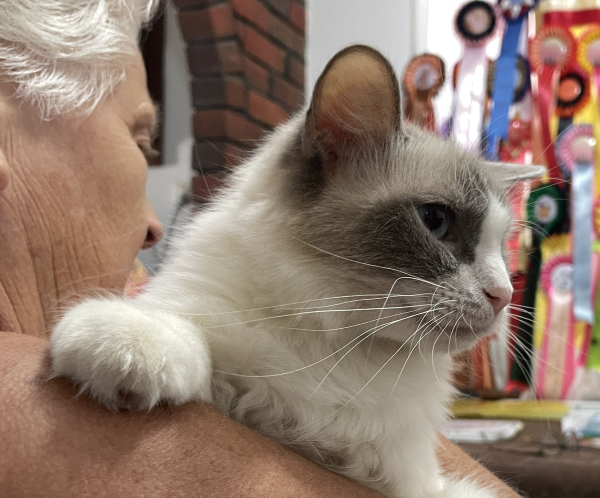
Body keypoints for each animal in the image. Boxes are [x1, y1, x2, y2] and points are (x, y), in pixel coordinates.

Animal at [51, 44, 544, 496]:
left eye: (500, 248)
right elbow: (195, 342)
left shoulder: (414, 485)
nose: (503, 295)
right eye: (436, 220)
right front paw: (126, 343)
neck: (340, 351)